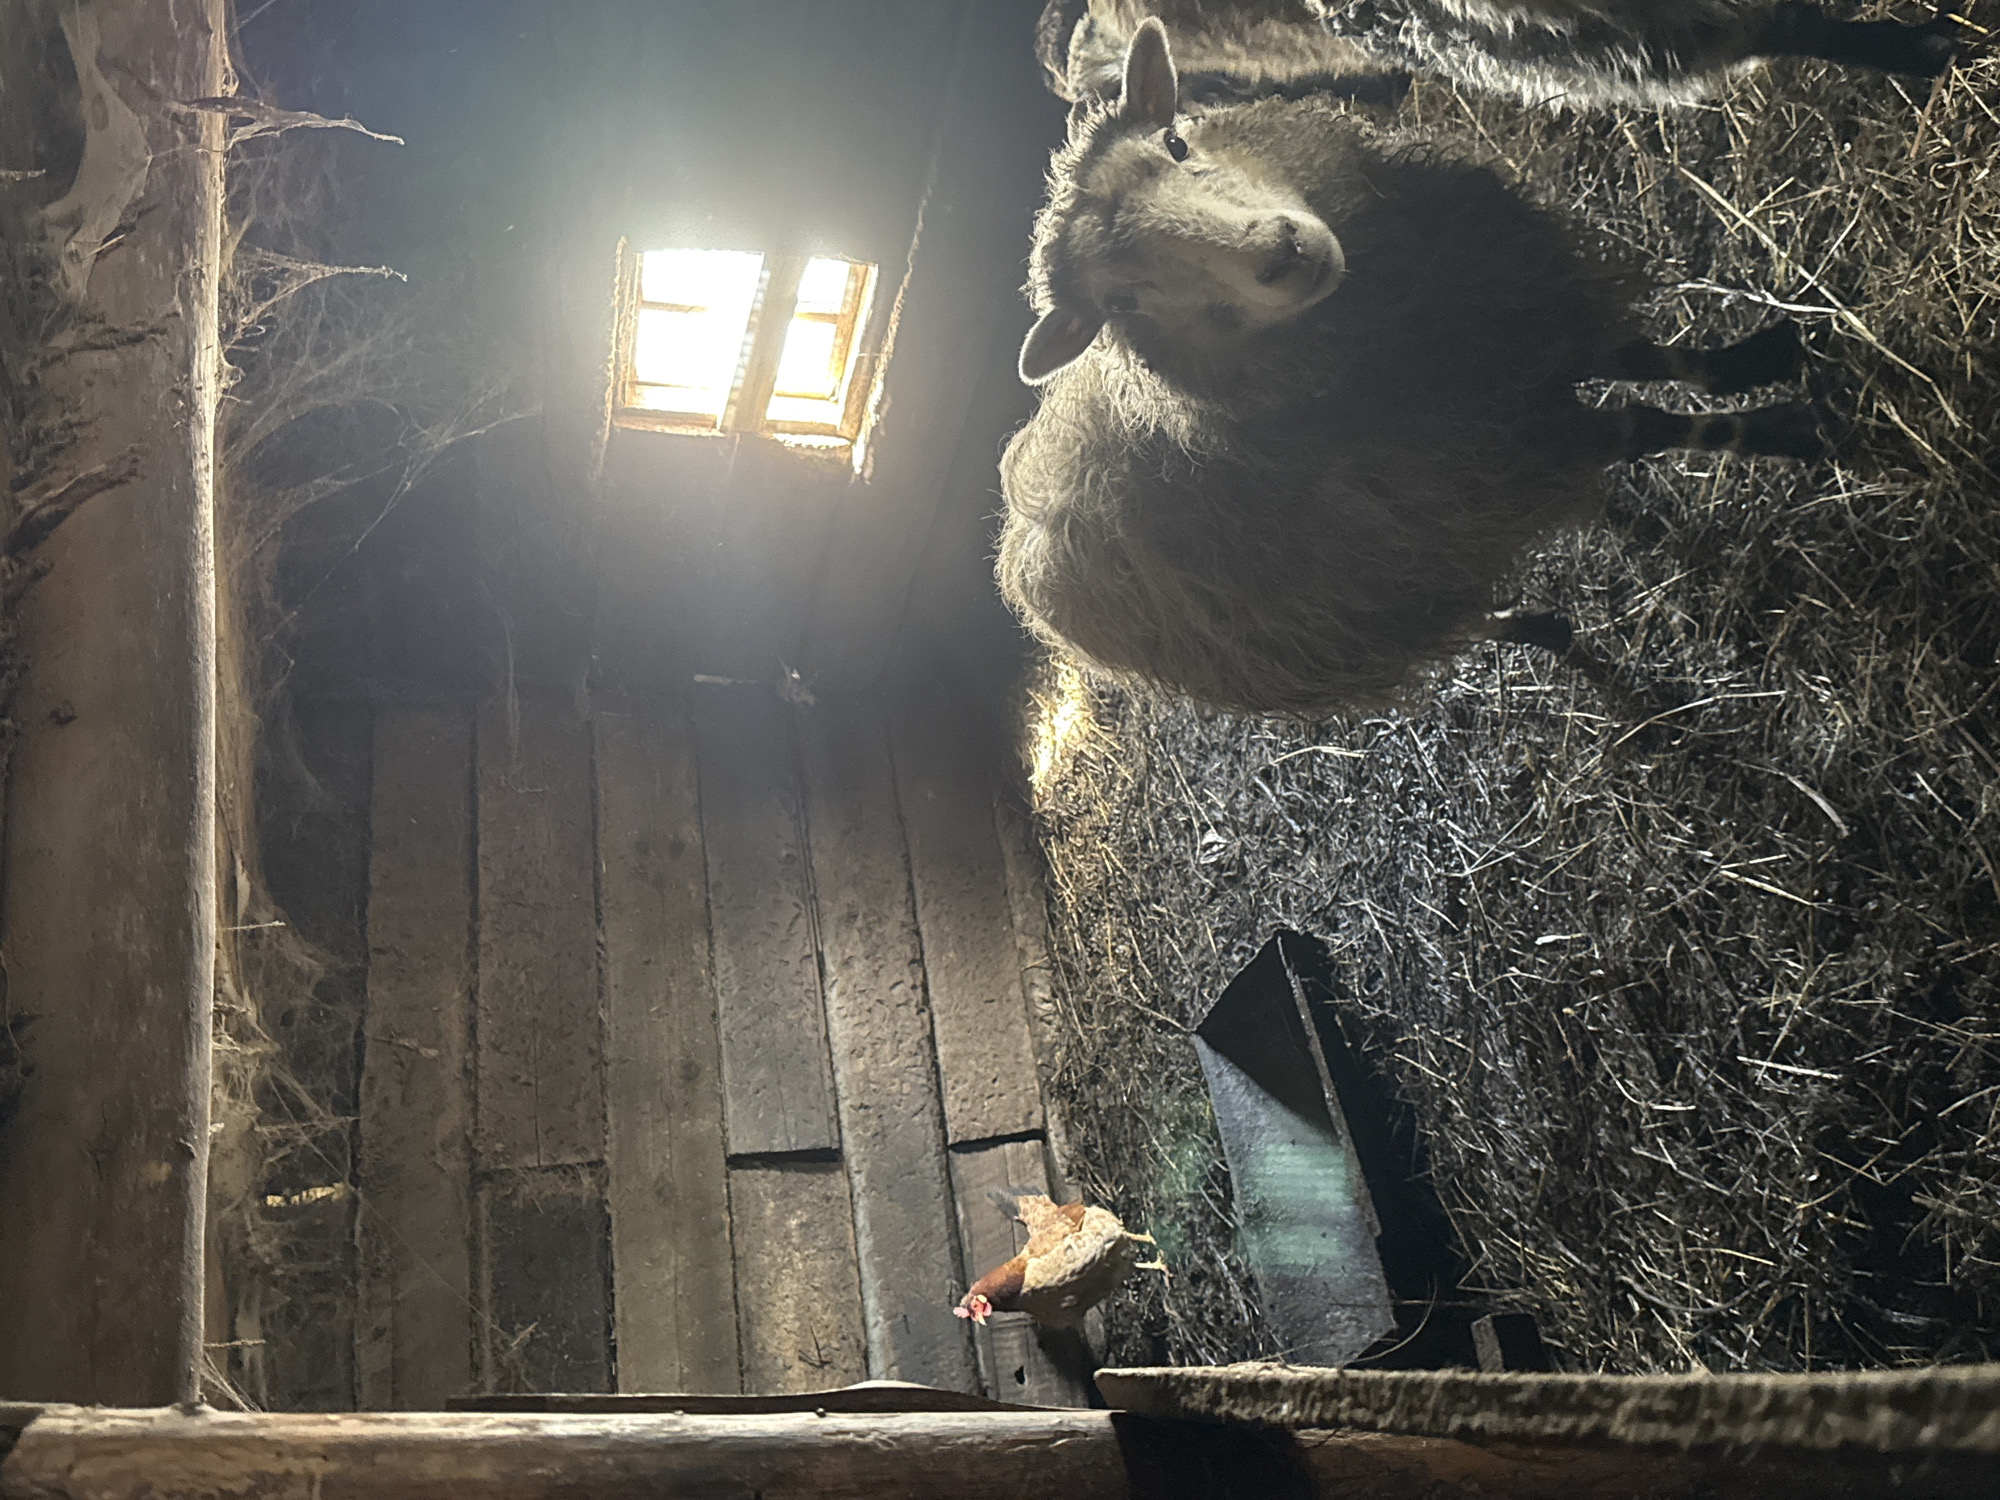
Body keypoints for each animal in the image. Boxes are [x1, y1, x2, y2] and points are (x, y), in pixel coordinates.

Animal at [996, 18, 1826, 717]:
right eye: (1122, 301)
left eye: (1175, 143)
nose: (1279, 252)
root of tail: (1022, 533)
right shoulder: (1517, 439)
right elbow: (1654, 424)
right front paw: (1790, 433)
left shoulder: (1530, 319)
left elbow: (1658, 361)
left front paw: (1759, 361)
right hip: (1364, 611)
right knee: (1465, 618)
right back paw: (1543, 631)